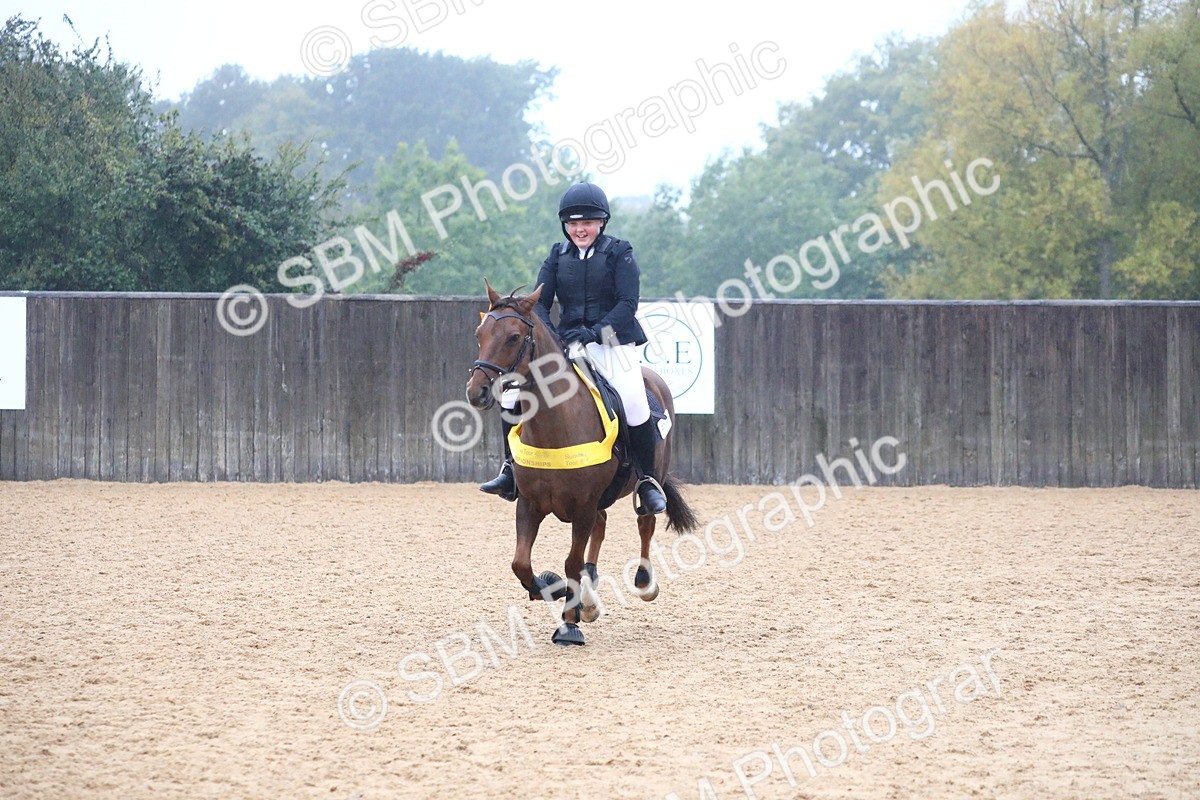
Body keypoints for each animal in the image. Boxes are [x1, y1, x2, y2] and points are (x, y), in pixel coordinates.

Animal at [465, 280, 698, 645]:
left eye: (514, 337)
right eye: (480, 333)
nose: (478, 392)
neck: (555, 425)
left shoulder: (583, 505)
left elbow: (571, 562)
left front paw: (568, 624)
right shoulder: (530, 503)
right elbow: (521, 563)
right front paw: (552, 588)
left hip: (649, 479)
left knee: (645, 522)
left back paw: (644, 582)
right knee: (601, 529)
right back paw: (590, 595)